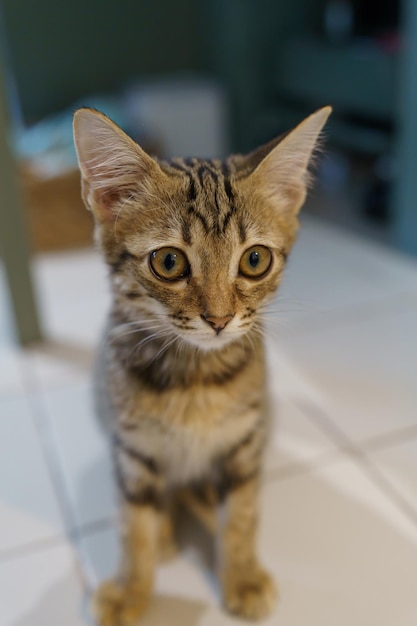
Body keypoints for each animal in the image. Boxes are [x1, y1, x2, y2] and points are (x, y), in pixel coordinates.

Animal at [73, 105, 330, 620]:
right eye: (169, 262)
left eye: (255, 259)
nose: (219, 318)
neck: (195, 378)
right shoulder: (131, 445)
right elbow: (134, 522)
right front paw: (132, 587)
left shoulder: (245, 440)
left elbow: (242, 515)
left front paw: (242, 575)